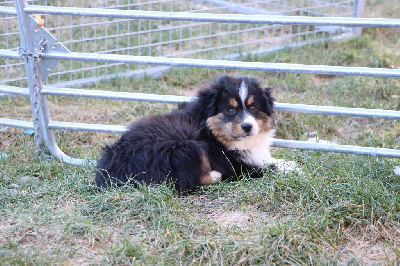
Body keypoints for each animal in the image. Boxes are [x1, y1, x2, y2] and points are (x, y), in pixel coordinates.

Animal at [96, 75, 296, 193]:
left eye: (253, 107)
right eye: (230, 110)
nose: (248, 126)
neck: (213, 132)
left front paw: (288, 163)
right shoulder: (237, 166)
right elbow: (269, 167)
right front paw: (293, 168)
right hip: (187, 145)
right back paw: (215, 175)